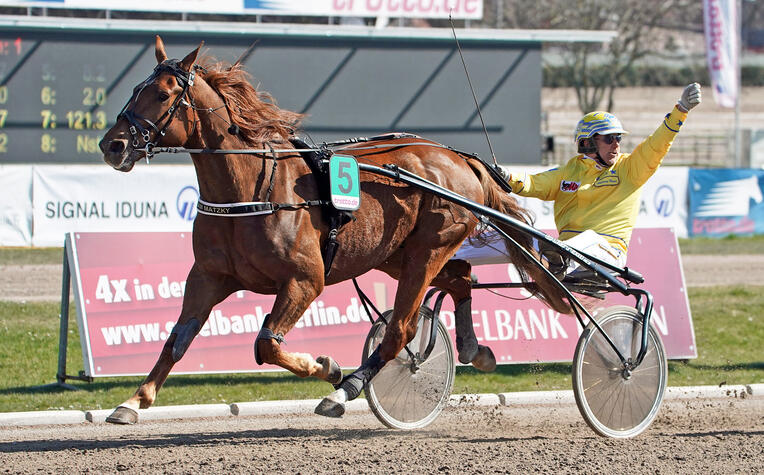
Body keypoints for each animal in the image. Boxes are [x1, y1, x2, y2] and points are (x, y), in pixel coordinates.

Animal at [98, 37, 572, 424]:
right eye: (134, 90)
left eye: (162, 94)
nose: (112, 145)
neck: (253, 189)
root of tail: (459, 158)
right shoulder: (208, 277)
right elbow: (177, 340)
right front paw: (133, 401)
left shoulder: (305, 280)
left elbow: (267, 344)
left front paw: (329, 368)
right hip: (395, 255)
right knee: (461, 277)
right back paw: (475, 349)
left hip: (427, 249)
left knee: (401, 329)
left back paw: (346, 391)